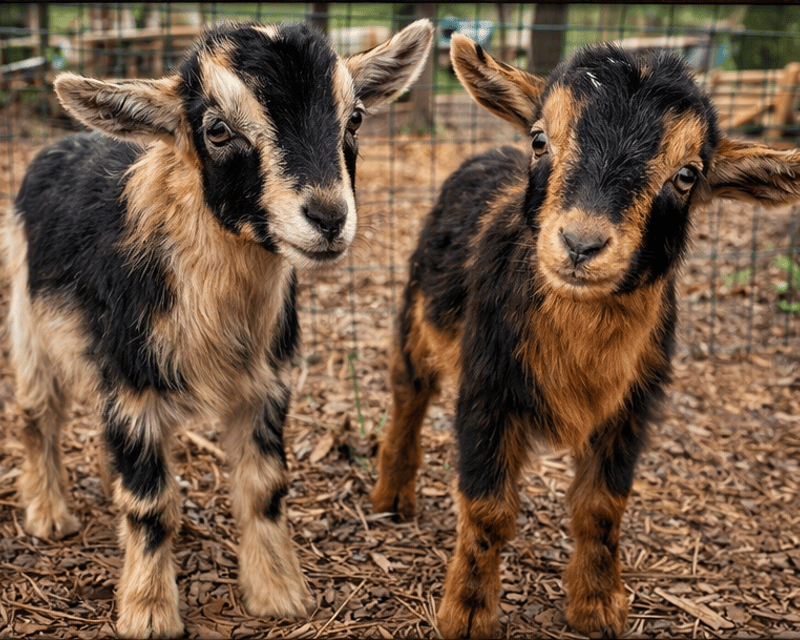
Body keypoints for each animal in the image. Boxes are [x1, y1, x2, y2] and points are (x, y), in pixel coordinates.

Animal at [6, 20, 432, 638]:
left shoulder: (266, 387)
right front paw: (149, 611)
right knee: (37, 413)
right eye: (218, 129)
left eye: (354, 118)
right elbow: (149, 501)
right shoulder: (131, 385)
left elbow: (264, 489)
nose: (328, 217)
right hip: (28, 319)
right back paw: (47, 512)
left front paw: (279, 592)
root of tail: (60, 143)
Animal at [371, 33, 800, 638]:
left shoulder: (632, 406)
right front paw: (468, 613)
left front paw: (597, 606)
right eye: (540, 139)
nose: (579, 243)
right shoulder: (486, 389)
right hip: (417, 309)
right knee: (408, 393)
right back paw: (391, 495)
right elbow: (487, 508)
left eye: (687, 175)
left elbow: (602, 506)